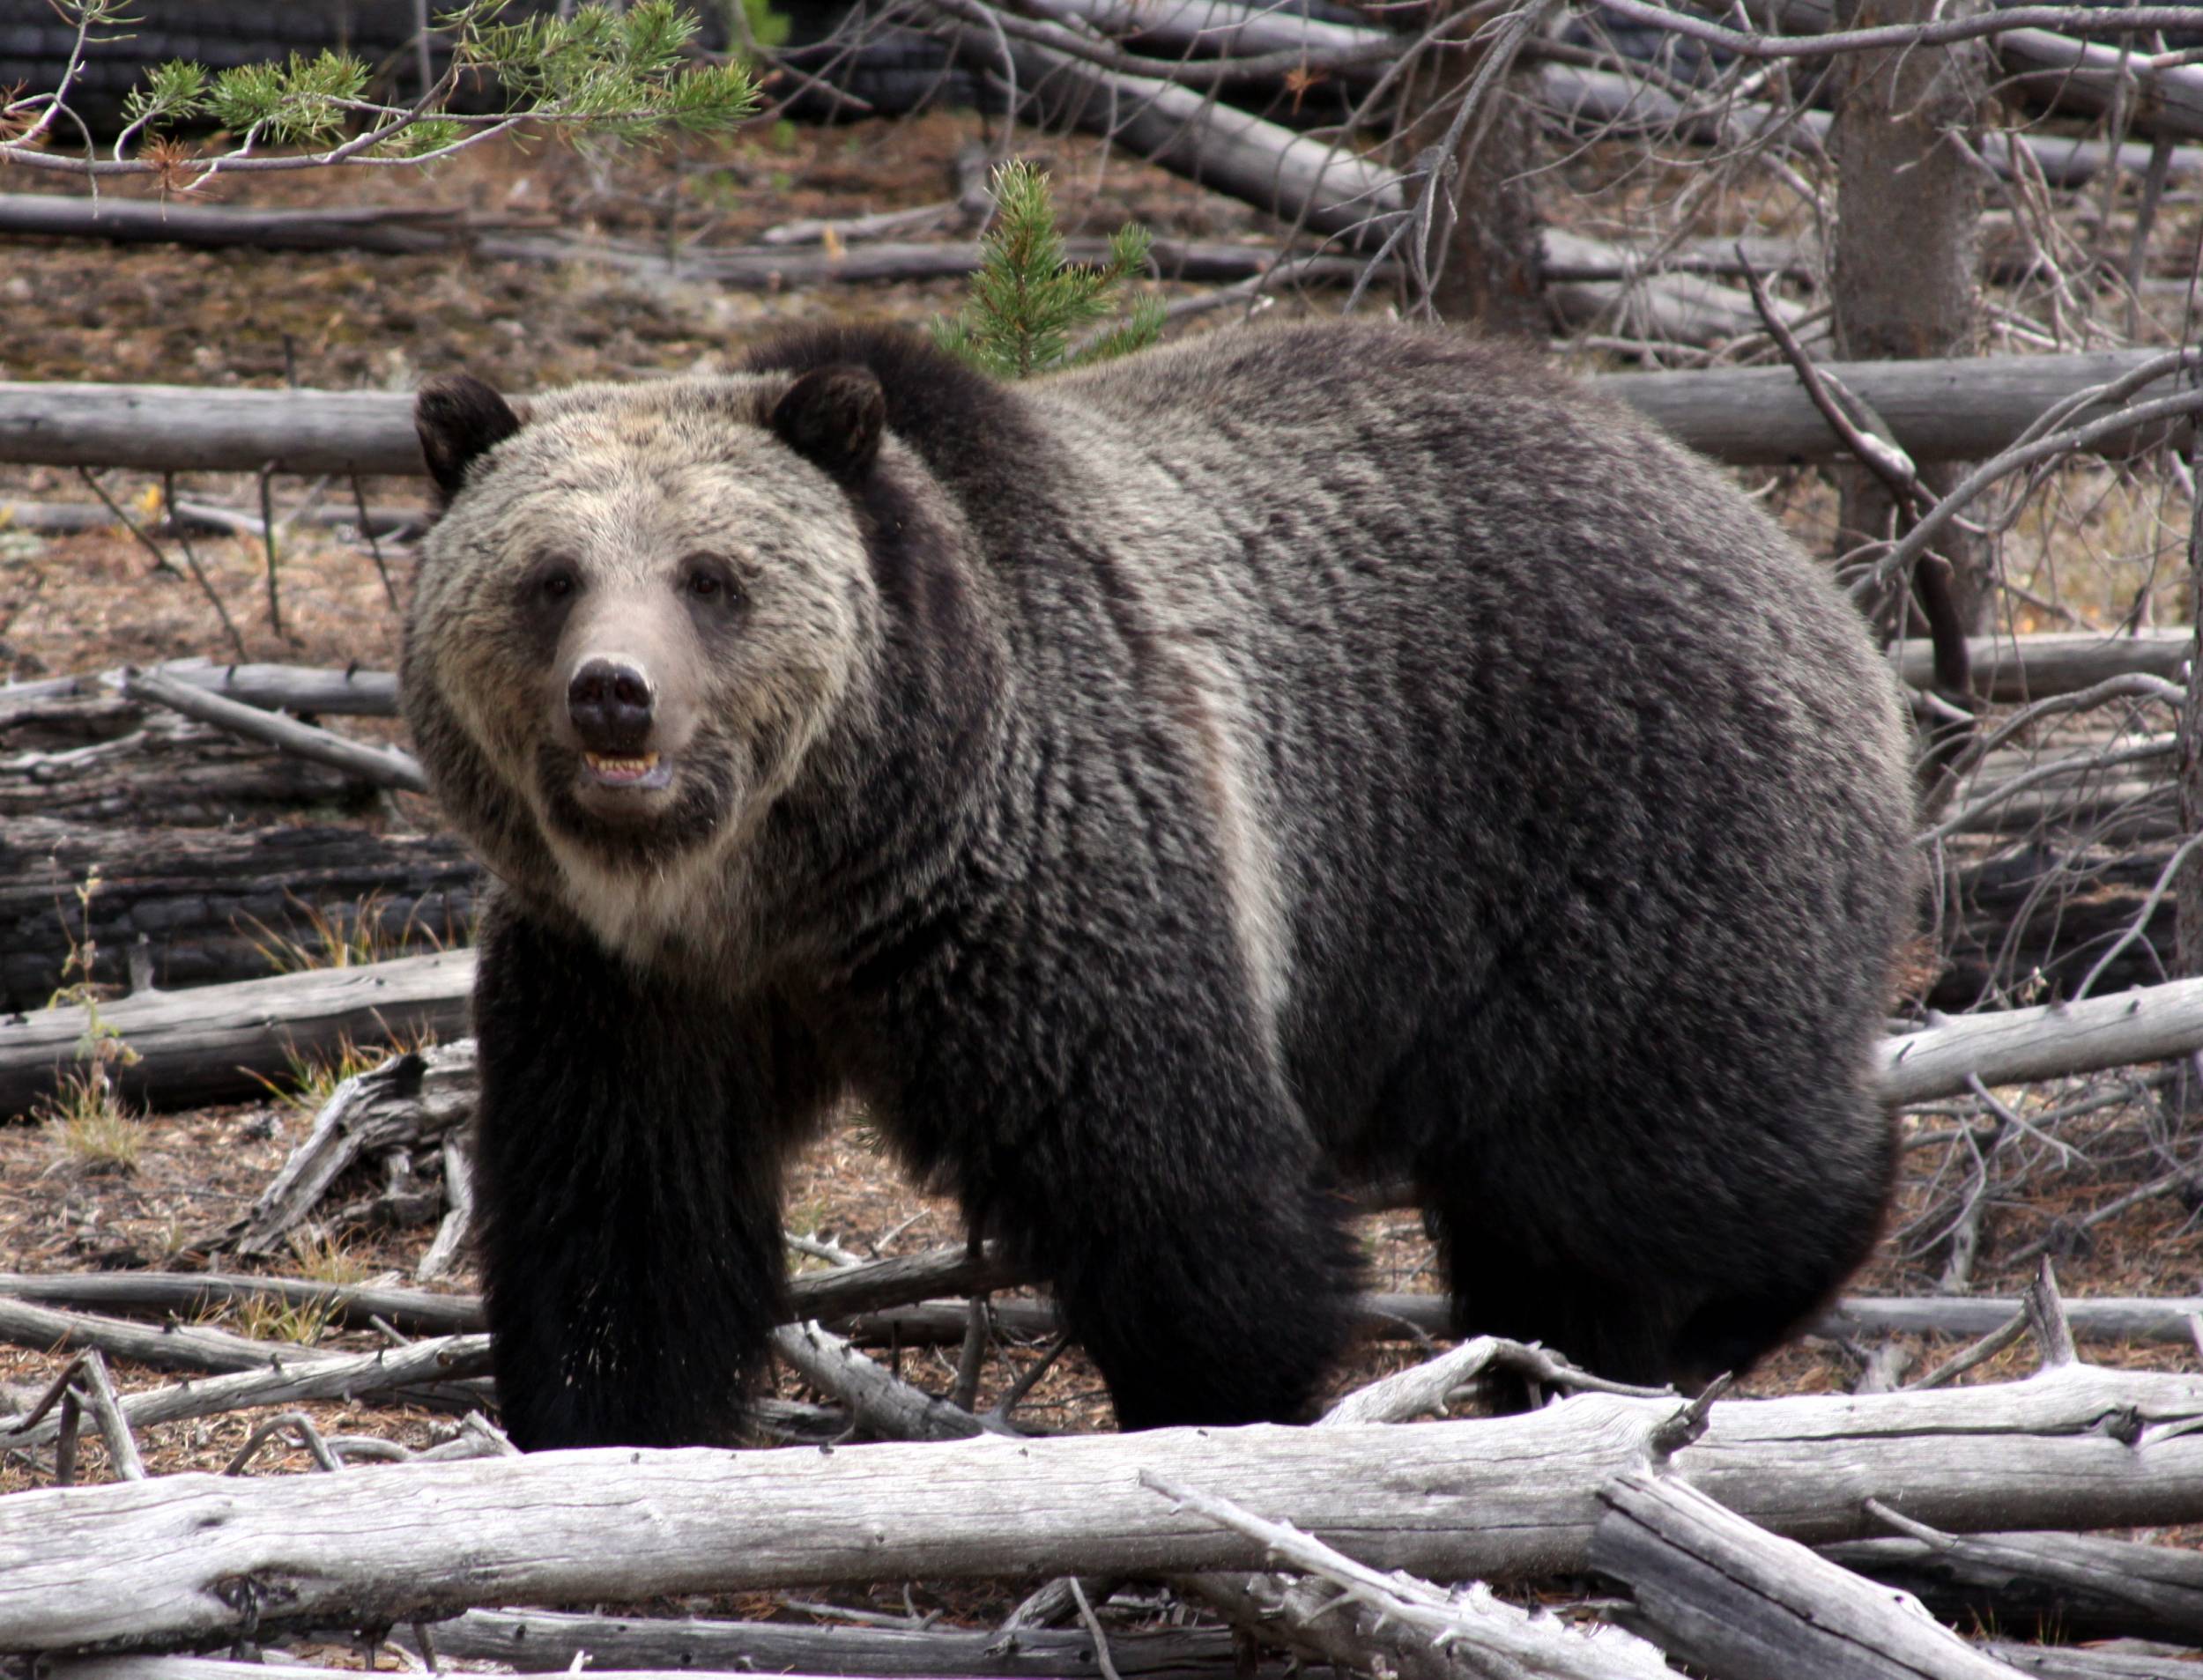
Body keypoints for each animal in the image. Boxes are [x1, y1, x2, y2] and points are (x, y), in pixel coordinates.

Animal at [405, 321, 1921, 1453]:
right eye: (551, 574)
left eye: (713, 576)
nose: (616, 694)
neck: (795, 882)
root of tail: (1792, 558)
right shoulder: (626, 985)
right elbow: (620, 1229)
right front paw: (607, 1420)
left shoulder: (1054, 880)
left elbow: (1177, 1185)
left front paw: (1220, 1405)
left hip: (1616, 835)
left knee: (1656, 1162)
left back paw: (1735, 1299)